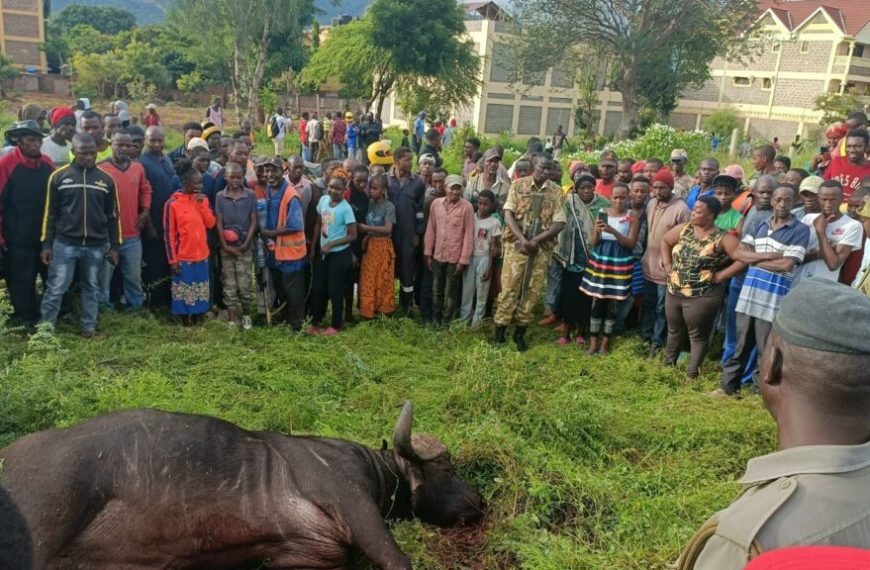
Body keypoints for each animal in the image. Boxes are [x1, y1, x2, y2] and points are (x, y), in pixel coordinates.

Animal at [0, 400, 484, 568]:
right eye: (447, 469)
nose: (479, 501)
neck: (378, 472)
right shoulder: (351, 498)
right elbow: (397, 559)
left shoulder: (305, 558)